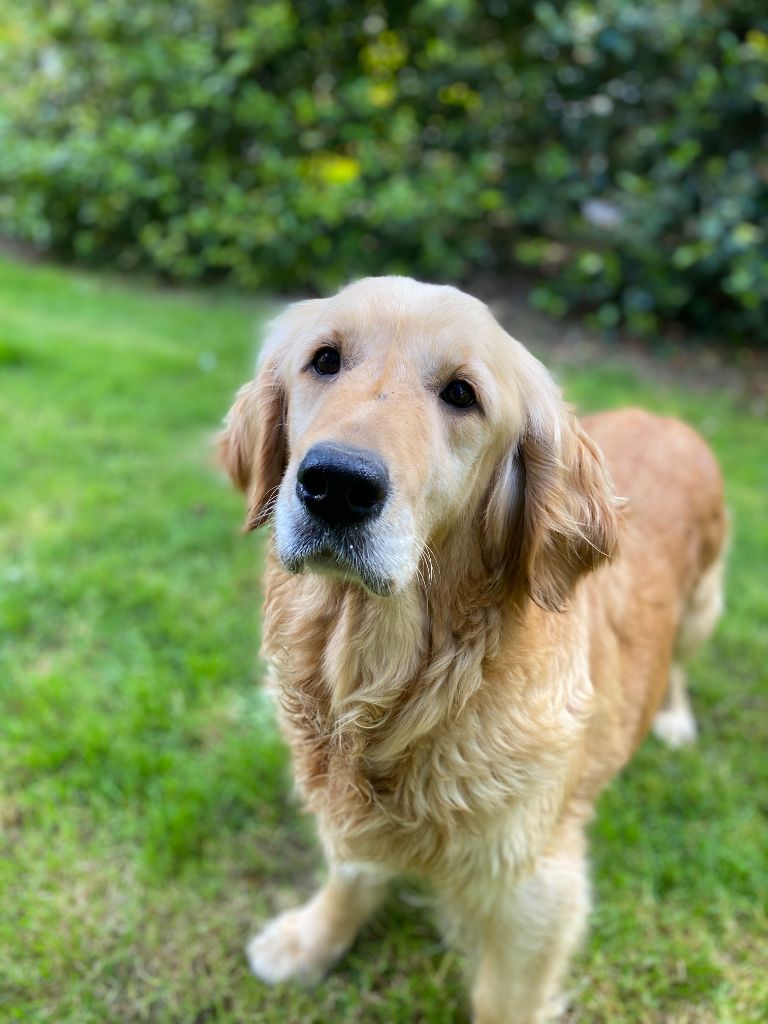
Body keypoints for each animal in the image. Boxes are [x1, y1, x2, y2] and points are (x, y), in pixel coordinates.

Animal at [218, 278, 729, 1024]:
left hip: (702, 607)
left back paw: (673, 718)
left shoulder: (535, 889)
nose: (337, 484)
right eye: (324, 360)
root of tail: (669, 418)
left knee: (682, 666)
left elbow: (503, 997)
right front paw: (312, 940)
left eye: (462, 394)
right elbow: (350, 869)